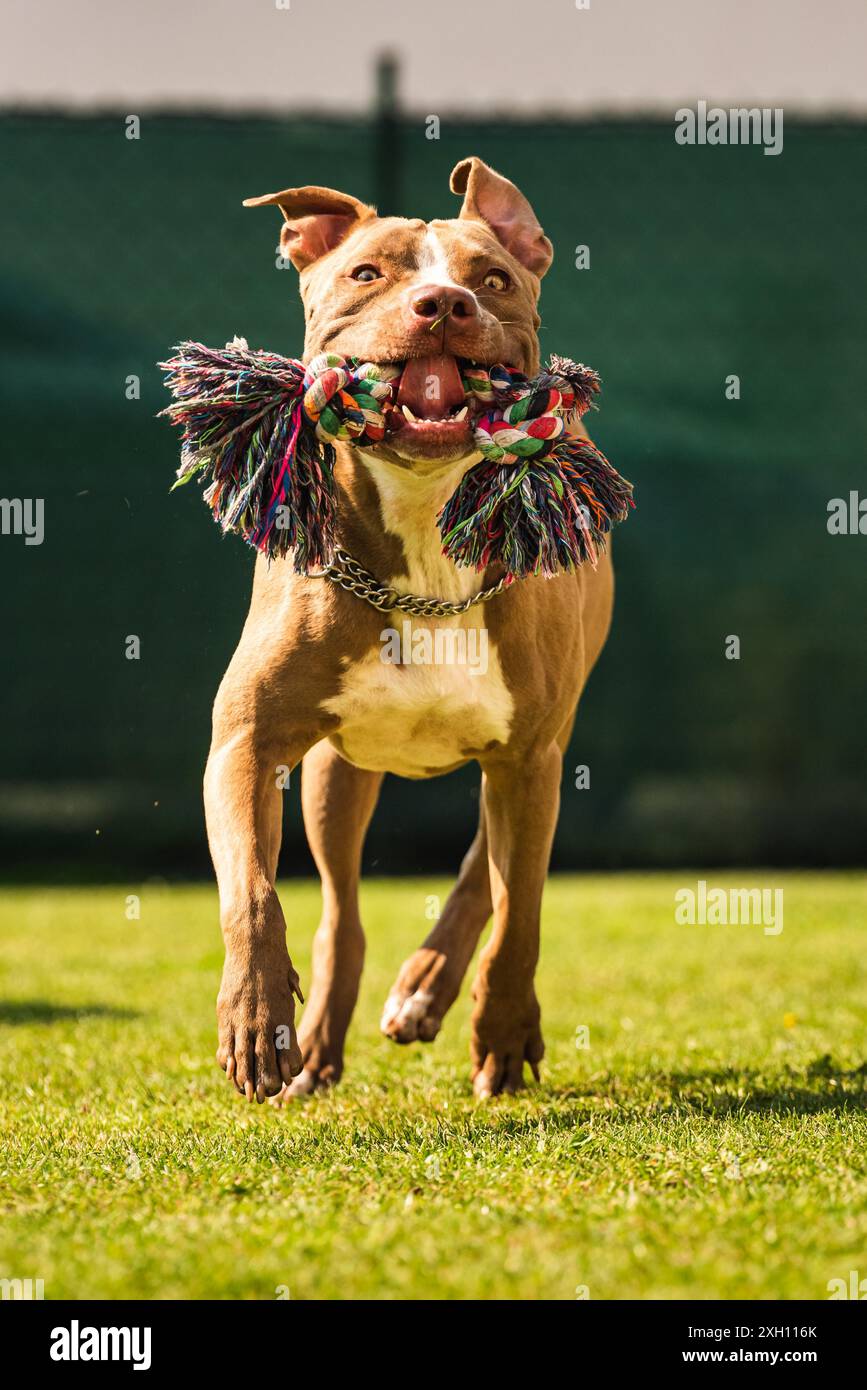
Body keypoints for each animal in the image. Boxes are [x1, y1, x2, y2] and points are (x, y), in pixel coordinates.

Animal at [205, 157, 614, 1100]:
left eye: (490, 280)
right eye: (366, 273)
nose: (442, 304)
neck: (425, 527)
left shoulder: (531, 751)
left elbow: (518, 912)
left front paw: (503, 1029)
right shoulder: (246, 739)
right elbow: (252, 889)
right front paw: (253, 1016)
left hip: (540, 745)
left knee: (486, 872)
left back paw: (426, 988)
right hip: (334, 773)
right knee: (341, 911)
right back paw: (315, 1042)